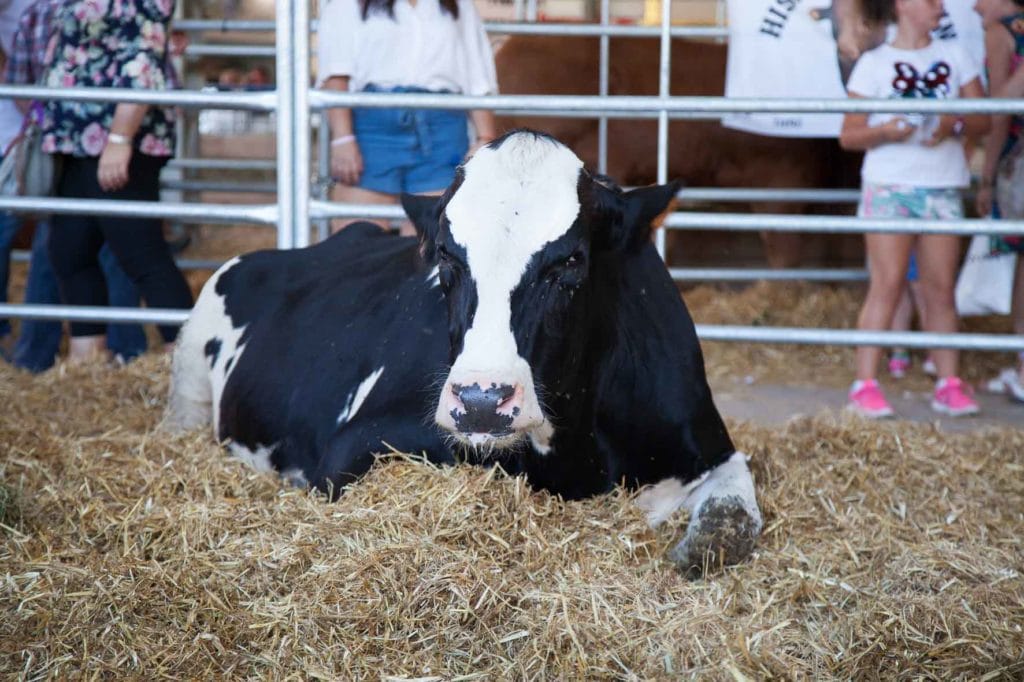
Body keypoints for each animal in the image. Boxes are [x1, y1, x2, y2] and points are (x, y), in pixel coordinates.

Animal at [164, 129, 763, 575]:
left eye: (570, 261)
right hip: (188, 381)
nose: (481, 400)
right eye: (448, 257)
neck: (575, 449)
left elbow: (730, 525)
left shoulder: (706, 443)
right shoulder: (354, 447)